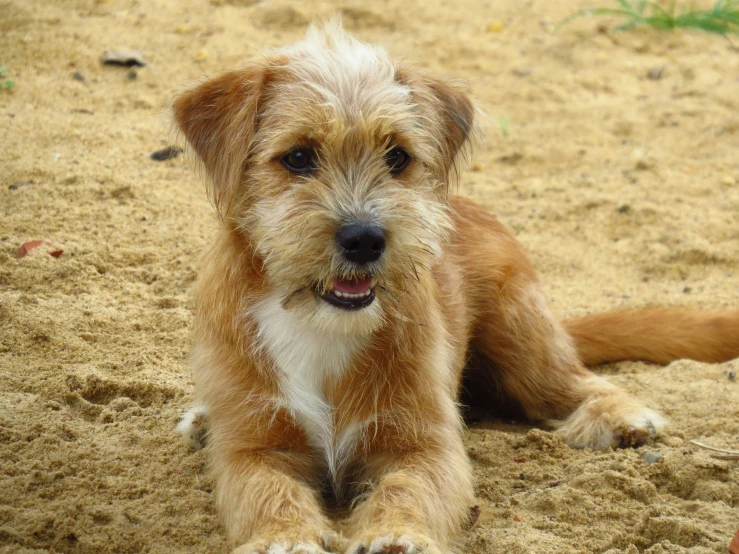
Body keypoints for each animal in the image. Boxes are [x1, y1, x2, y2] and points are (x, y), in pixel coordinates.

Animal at [173, 21, 739, 552]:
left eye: (397, 157)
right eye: (297, 157)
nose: (365, 239)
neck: (322, 326)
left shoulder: (423, 443)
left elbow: (410, 488)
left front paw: (397, 535)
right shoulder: (254, 448)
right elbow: (267, 492)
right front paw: (284, 538)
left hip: (521, 341)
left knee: (577, 380)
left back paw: (621, 415)